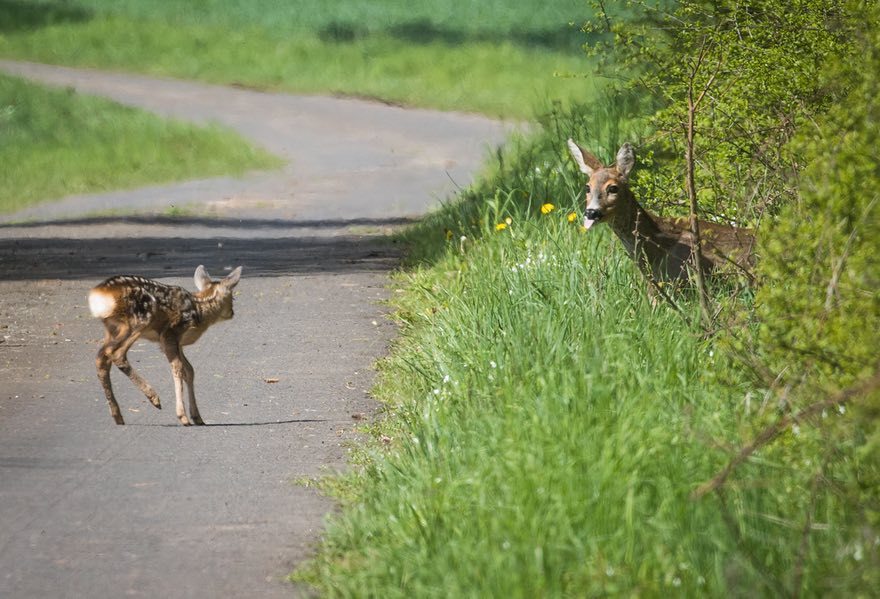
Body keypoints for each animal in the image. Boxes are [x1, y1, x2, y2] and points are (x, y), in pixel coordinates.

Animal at [90, 266, 242, 426]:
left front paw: (197, 417)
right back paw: (154, 398)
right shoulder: (170, 333)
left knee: (101, 357)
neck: (199, 310)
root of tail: (98, 295)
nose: (232, 312)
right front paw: (183, 416)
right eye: (233, 297)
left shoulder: (177, 342)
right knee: (116, 354)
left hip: (112, 329)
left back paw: (117, 415)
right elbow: (179, 368)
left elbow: (190, 370)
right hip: (140, 319)